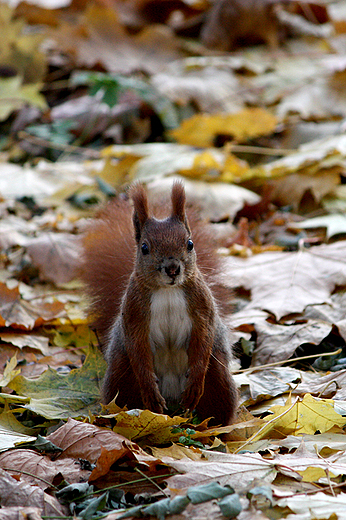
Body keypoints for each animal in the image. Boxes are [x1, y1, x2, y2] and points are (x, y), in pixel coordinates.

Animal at [81, 183, 238, 426]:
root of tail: (172, 405)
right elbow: (137, 347)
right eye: (144, 248)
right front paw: (150, 390)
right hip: (121, 376)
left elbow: (204, 338)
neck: (168, 291)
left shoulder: (202, 306)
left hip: (218, 377)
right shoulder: (134, 313)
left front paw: (195, 383)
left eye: (190, 244)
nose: (172, 269)